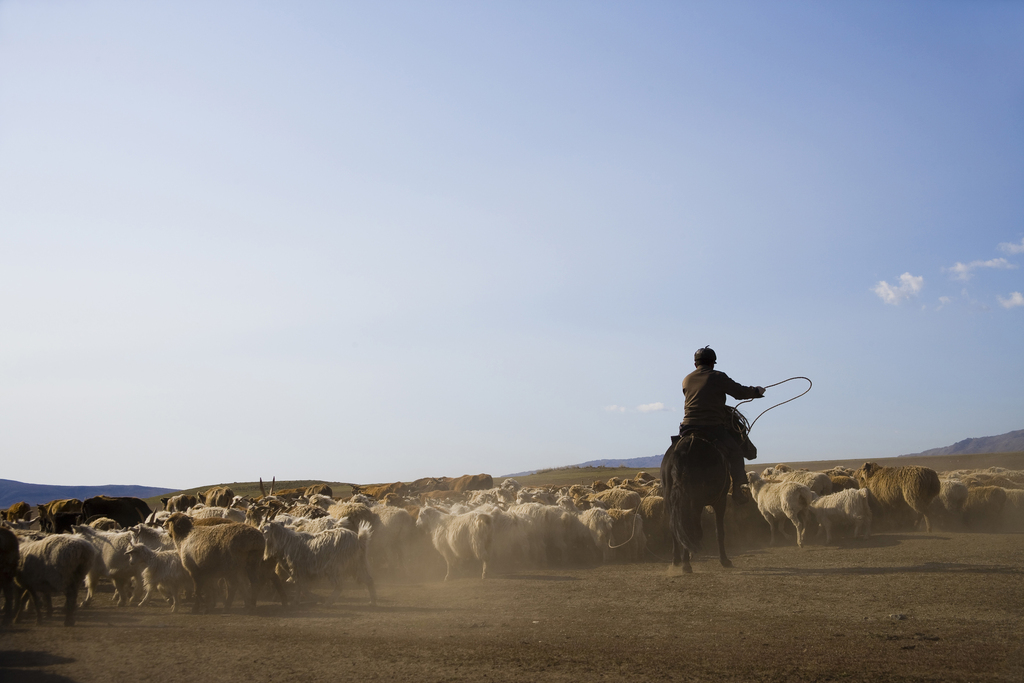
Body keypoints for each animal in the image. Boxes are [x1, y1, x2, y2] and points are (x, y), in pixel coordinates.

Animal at [659, 409, 757, 573]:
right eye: (740, 428)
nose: (753, 450)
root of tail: (685, 449)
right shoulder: (720, 501)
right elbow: (719, 532)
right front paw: (725, 560)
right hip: (694, 500)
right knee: (687, 524)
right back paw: (686, 563)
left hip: (671, 500)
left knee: (676, 527)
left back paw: (678, 560)